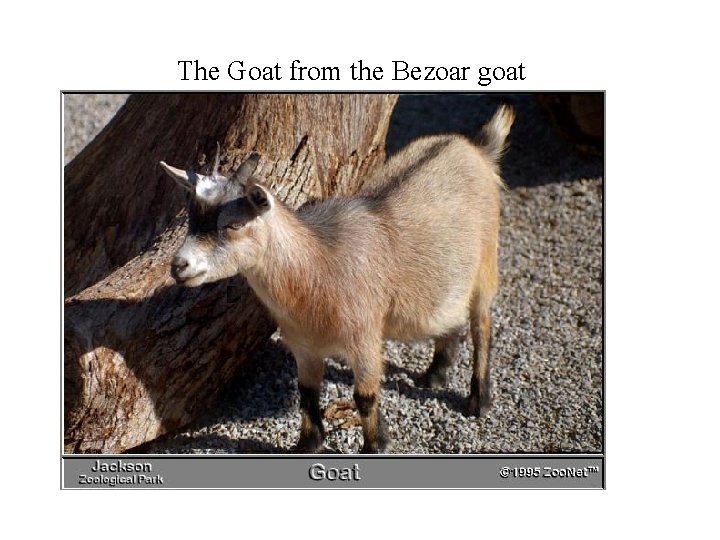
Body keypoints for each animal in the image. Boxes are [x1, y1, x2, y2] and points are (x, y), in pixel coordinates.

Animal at [159, 104, 514, 453]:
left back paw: (479, 400)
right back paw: (435, 374)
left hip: (487, 262)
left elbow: (365, 396)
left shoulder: (366, 339)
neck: (319, 267)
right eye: (191, 218)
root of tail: (477, 149)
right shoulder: (302, 345)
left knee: (482, 325)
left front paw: (376, 445)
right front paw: (307, 444)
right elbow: (307, 393)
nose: (179, 266)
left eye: (233, 225)